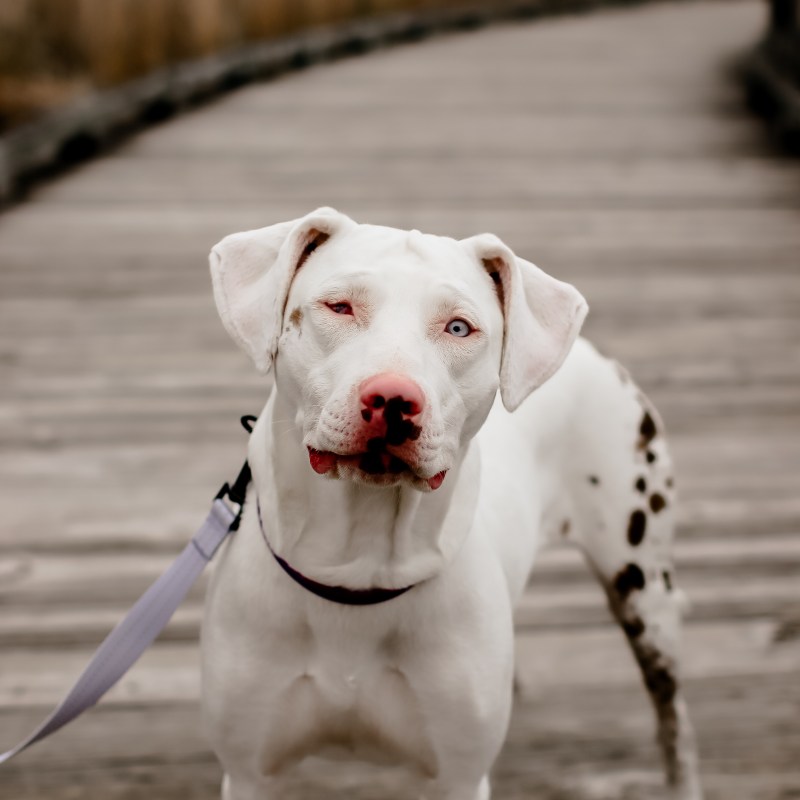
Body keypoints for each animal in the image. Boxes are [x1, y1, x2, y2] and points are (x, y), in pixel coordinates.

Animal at [200, 208, 700, 800]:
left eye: (458, 327)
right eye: (339, 306)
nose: (393, 399)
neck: (357, 565)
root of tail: (593, 353)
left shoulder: (458, 777)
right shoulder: (252, 772)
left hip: (644, 591)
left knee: (673, 720)